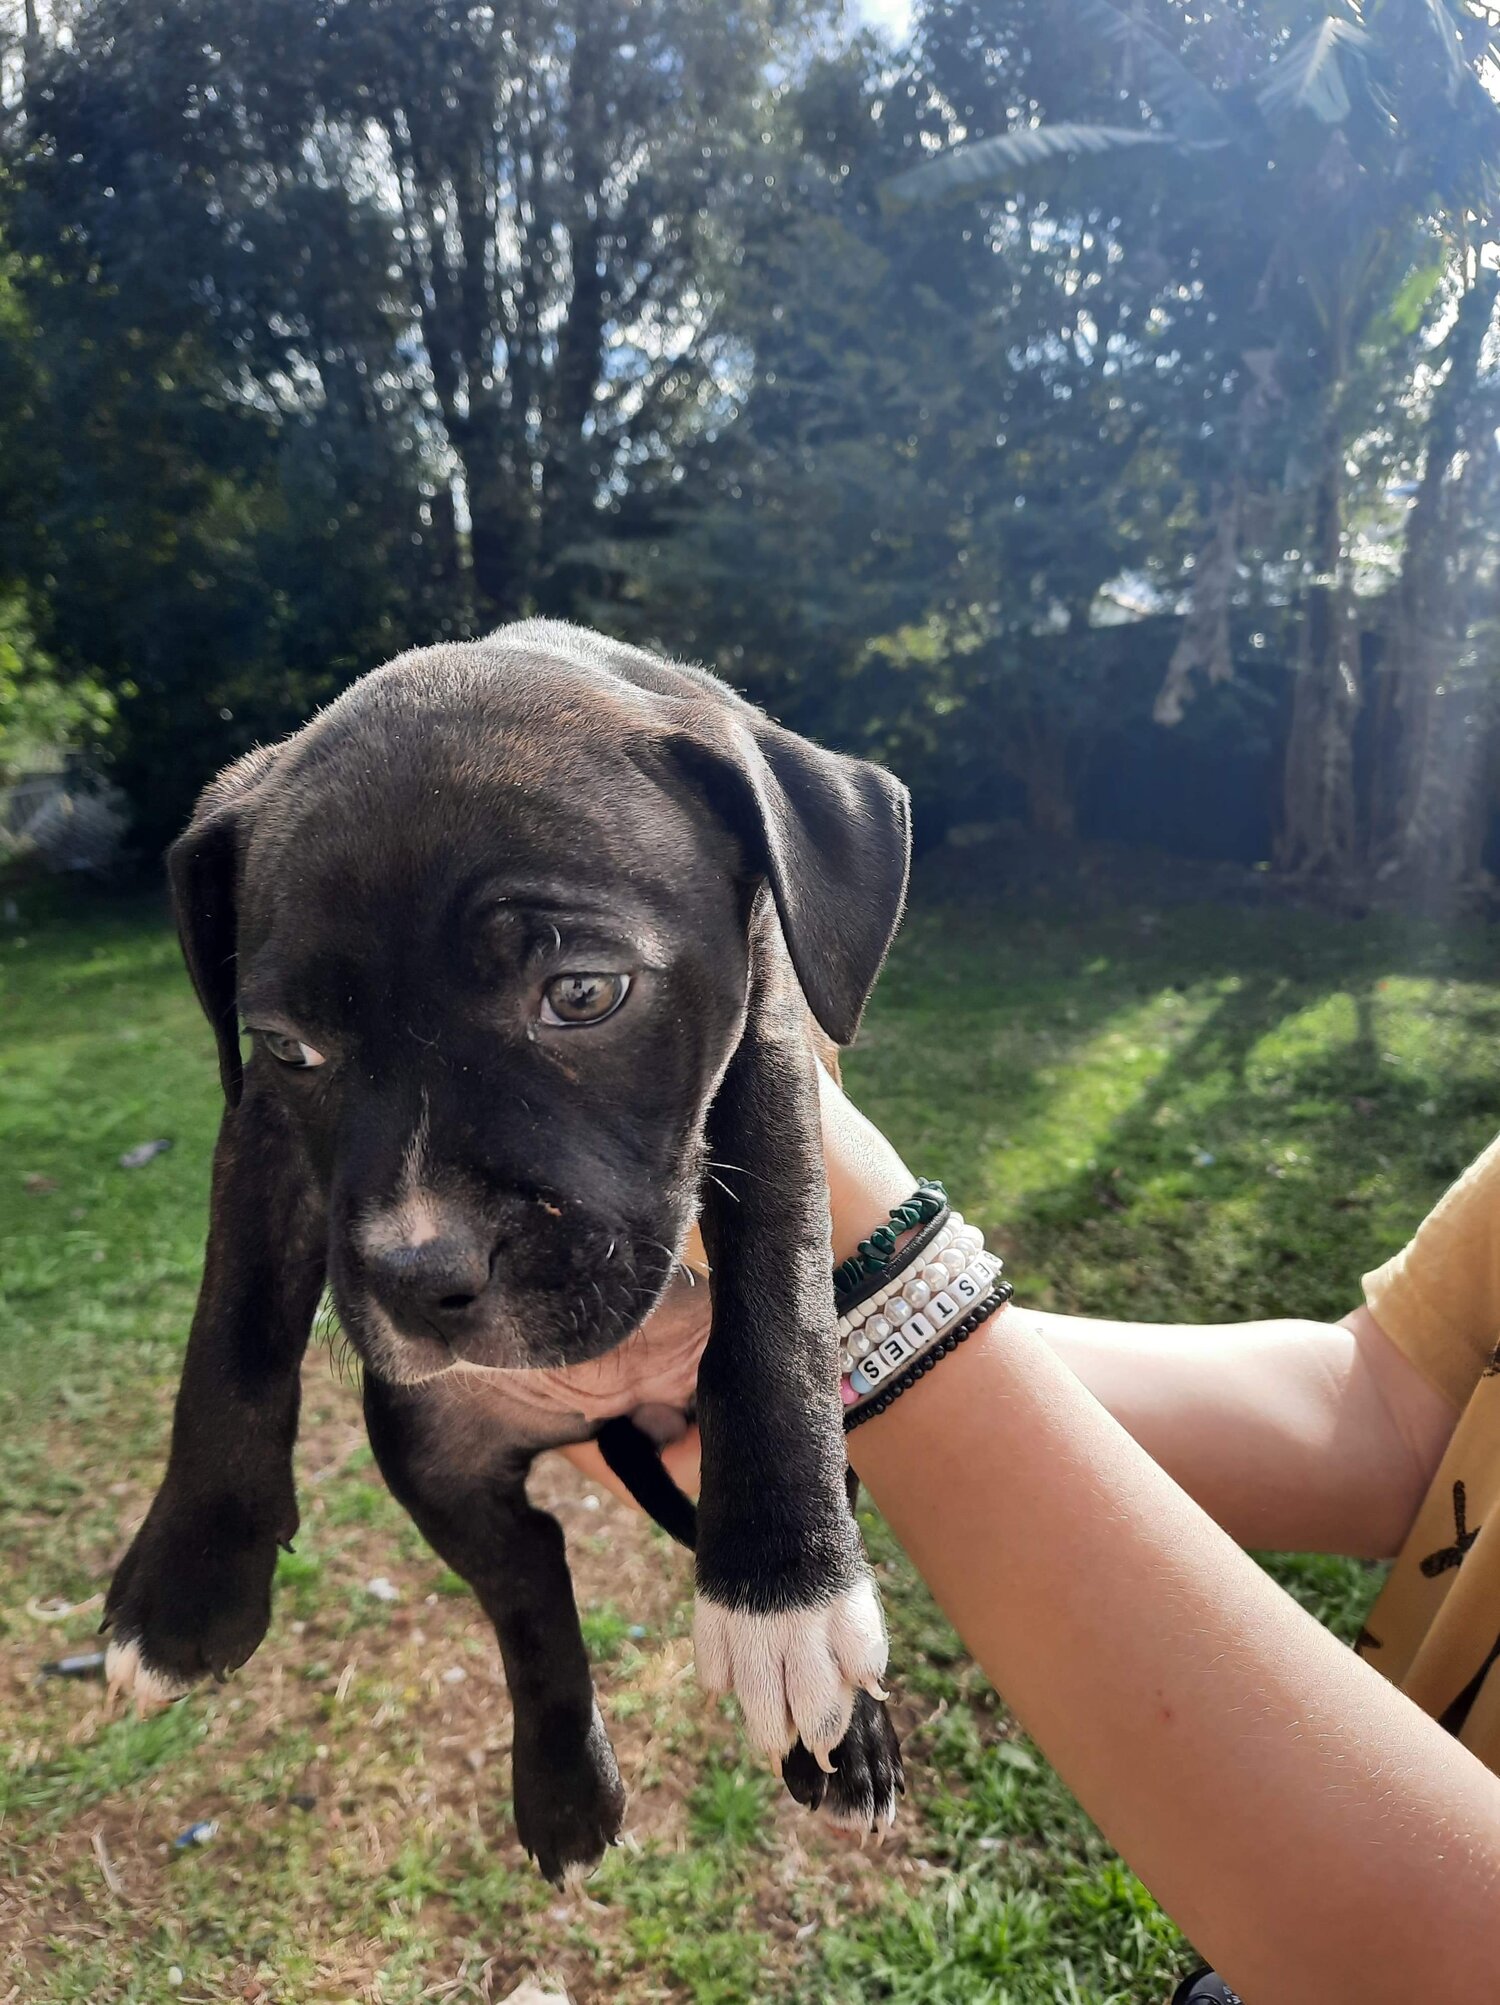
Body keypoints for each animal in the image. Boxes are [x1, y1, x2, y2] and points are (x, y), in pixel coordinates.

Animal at [102, 621, 914, 1876]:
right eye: (288, 1047)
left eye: (582, 993)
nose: (421, 1274)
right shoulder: (262, 1128)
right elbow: (231, 1319)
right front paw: (189, 1581)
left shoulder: (773, 1047)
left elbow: (779, 1289)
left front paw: (787, 1594)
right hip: (434, 1445)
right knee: (528, 1580)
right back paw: (566, 1791)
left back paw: (845, 1734)